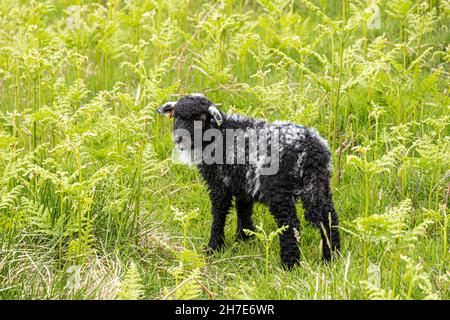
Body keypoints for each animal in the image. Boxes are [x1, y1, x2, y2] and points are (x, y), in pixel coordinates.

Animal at [156, 93, 340, 268]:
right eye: (176, 116)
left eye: (200, 117)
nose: (179, 139)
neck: (219, 135)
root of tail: (311, 150)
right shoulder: (243, 181)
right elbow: (243, 208)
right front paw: (244, 236)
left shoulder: (219, 183)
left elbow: (219, 213)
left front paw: (214, 247)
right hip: (318, 184)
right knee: (328, 216)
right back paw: (331, 256)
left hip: (279, 189)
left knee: (290, 223)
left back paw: (289, 264)